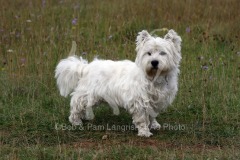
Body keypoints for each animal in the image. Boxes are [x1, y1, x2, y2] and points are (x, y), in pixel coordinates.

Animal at [54, 29, 182, 137]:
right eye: (148, 53)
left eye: (163, 53)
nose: (154, 62)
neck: (154, 78)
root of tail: (86, 67)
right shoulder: (139, 101)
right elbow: (142, 118)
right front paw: (144, 132)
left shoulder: (157, 101)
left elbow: (152, 115)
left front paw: (154, 125)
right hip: (86, 95)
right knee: (76, 104)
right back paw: (76, 122)